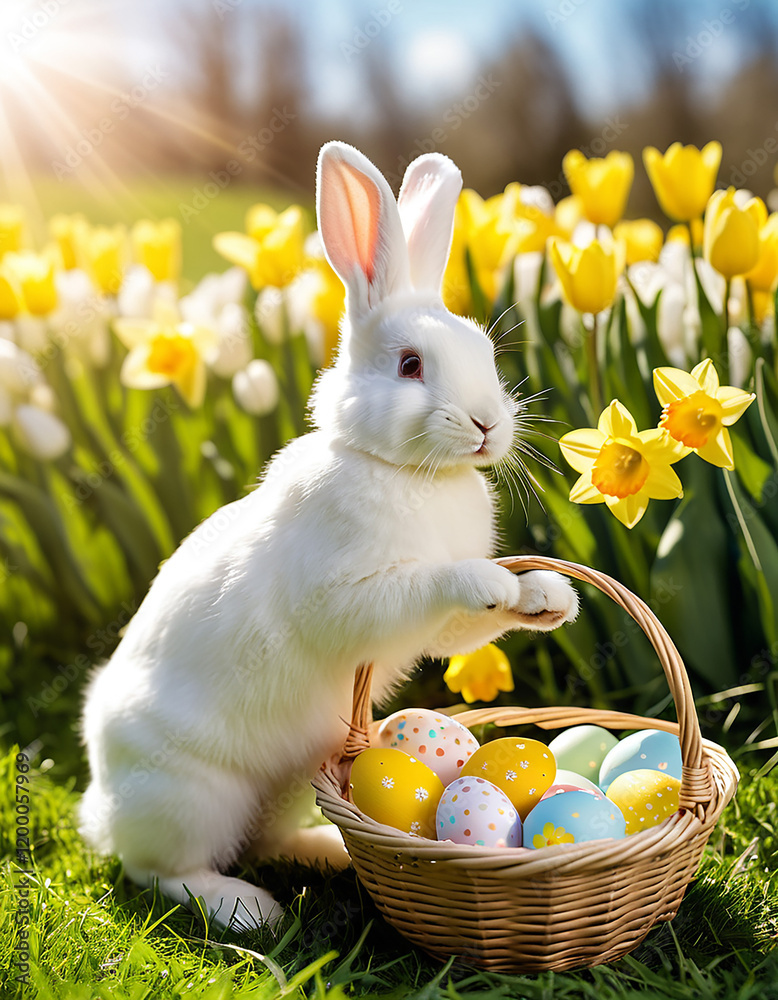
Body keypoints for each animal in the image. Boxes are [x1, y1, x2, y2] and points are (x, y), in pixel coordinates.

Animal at [79, 141, 579, 933]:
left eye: (485, 355)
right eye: (410, 365)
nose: (487, 425)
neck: (410, 472)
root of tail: (99, 809)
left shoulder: (440, 633)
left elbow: (472, 625)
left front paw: (546, 597)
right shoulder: (349, 596)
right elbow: (430, 584)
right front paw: (492, 580)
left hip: (287, 781)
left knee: (266, 838)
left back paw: (330, 854)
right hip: (192, 797)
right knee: (160, 871)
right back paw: (247, 910)